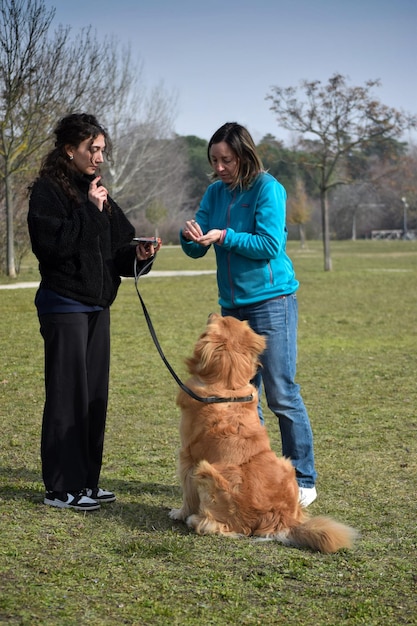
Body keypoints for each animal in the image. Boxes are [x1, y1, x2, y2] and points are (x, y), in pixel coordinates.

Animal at [167, 312, 356, 552]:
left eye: (218, 321)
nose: (213, 313)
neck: (228, 386)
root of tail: (282, 520)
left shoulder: (187, 458)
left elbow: (187, 494)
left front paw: (180, 513)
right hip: (287, 464)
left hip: (206, 471)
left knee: (219, 526)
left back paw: (195, 520)